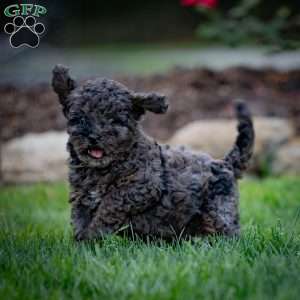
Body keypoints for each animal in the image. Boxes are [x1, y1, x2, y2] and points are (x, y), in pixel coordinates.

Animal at [52, 64, 254, 240]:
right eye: (81, 119)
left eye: (114, 120)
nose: (94, 136)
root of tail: (224, 163)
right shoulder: (81, 194)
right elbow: (80, 219)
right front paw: (81, 244)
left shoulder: (143, 186)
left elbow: (109, 205)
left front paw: (93, 235)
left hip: (217, 210)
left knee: (227, 231)